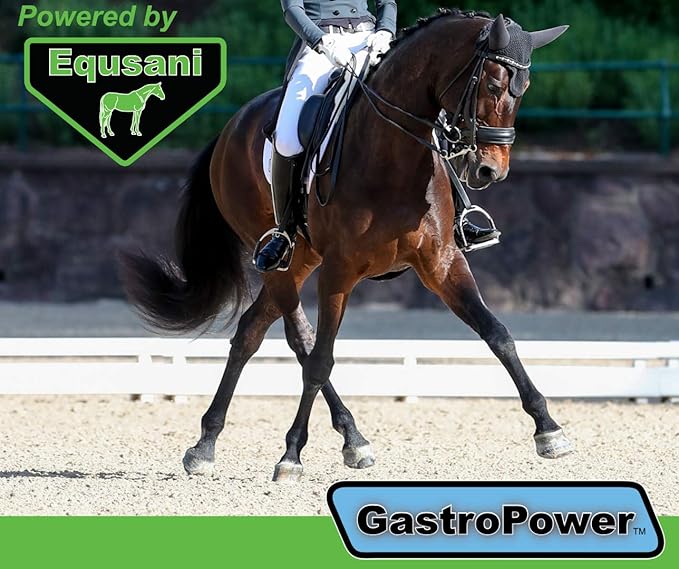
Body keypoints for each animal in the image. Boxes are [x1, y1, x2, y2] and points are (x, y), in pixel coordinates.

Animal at [120, 10, 573, 482]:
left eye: (524, 90)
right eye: (492, 85)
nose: (489, 171)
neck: (394, 156)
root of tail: (231, 127)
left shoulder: (442, 263)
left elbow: (498, 334)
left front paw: (548, 429)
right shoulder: (340, 272)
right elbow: (321, 360)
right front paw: (291, 456)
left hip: (302, 259)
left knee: (251, 330)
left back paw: (229, 441)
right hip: (278, 260)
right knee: (300, 340)